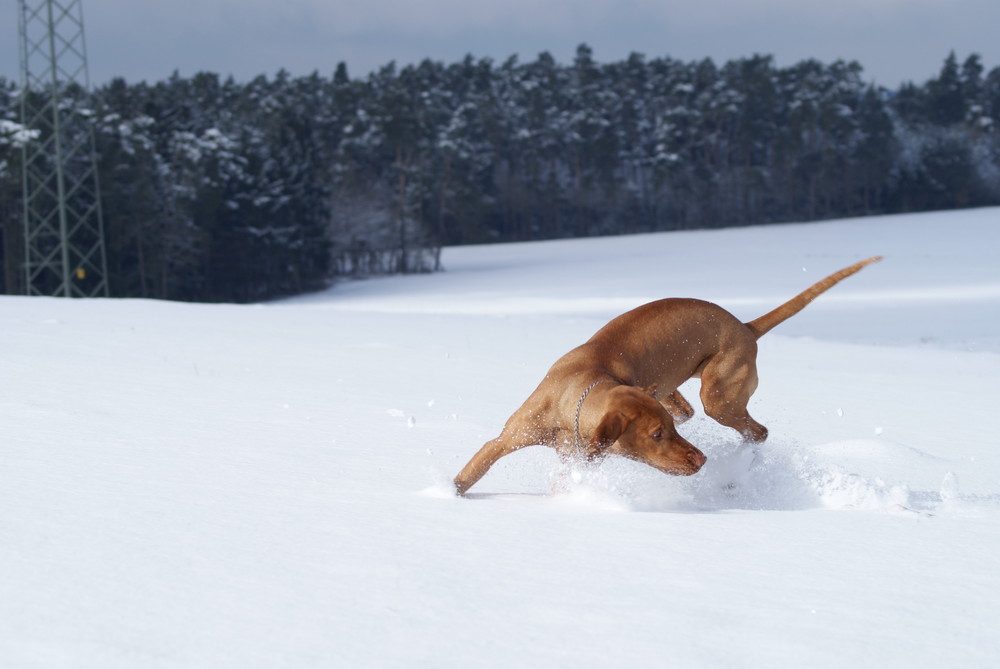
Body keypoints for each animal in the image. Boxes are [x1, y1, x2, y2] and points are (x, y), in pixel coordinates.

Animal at [454, 253, 884, 494]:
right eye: (658, 435)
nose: (701, 459)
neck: (576, 400)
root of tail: (745, 326)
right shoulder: (508, 440)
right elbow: (473, 470)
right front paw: (451, 493)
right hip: (684, 388)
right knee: (693, 409)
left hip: (720, 394)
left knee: (756, 432)